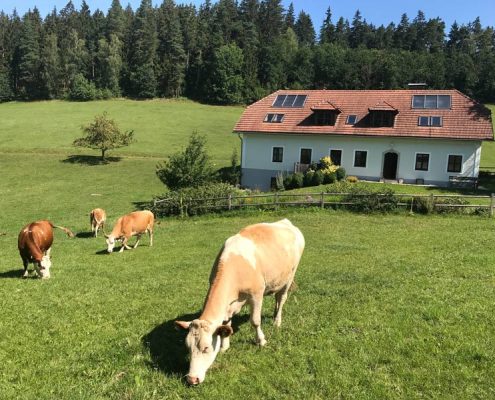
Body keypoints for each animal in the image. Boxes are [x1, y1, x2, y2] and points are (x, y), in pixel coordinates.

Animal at [176, 219, 304, 384]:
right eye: (188, 348)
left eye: (206, 348)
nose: (192, 379)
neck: (235, 267)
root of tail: (285, 222)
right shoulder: (228, 305)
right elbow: (226, 325)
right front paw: (224, 346)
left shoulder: (257, 294)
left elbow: (255, 321)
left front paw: (261, 341)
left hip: (289, 276)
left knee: (281, 299)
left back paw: (277, 321)